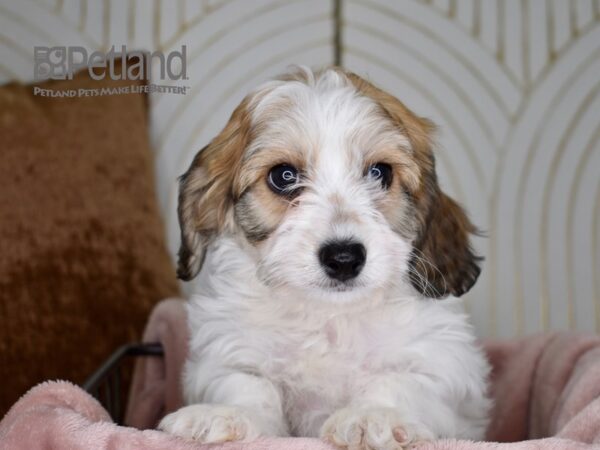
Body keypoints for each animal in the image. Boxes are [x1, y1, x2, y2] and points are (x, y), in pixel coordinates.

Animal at [159, 67, 492, 450]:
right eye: (283, 176)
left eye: (380, 173)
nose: (344, 257)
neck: (330, 317)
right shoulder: (225, 357)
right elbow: (248, 384)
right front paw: (227, 414)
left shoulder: (444, 365)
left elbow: (398, 381)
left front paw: (373, 416)